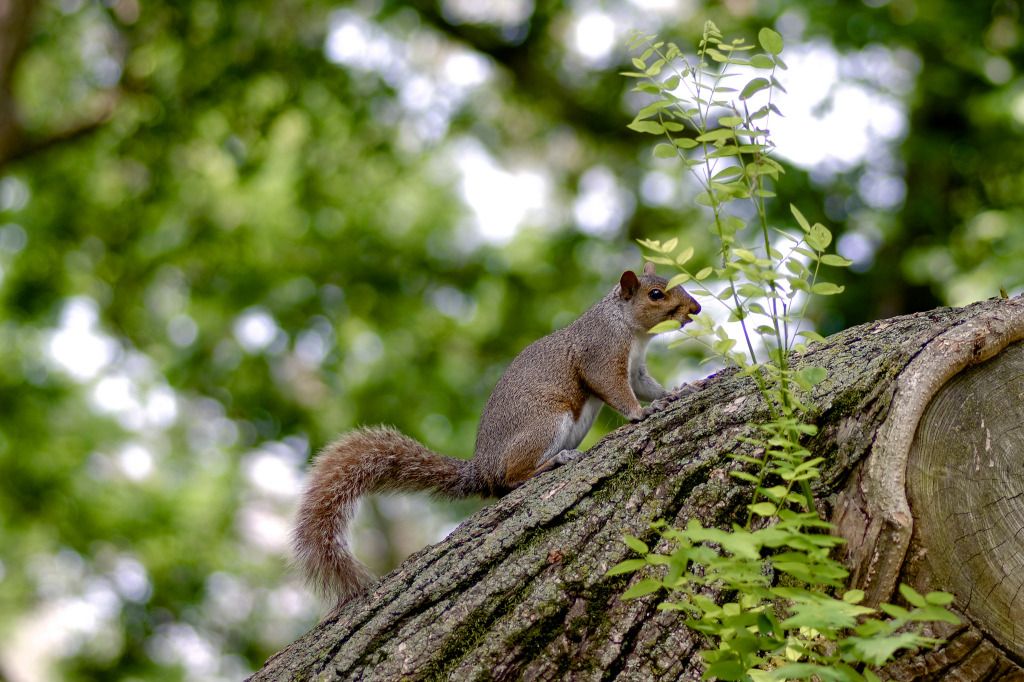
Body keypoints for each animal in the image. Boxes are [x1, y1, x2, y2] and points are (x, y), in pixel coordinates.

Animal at [292, 260, 700, 606]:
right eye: (656, 294)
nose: (694, 309)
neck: (628, 328)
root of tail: (483, 468)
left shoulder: (637, 369)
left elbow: (647, 386)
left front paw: (676, 392)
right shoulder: (600, 354)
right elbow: (615, 390)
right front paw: (643, 412)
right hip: (544, 424)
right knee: (512, 479)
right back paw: (554, 461)